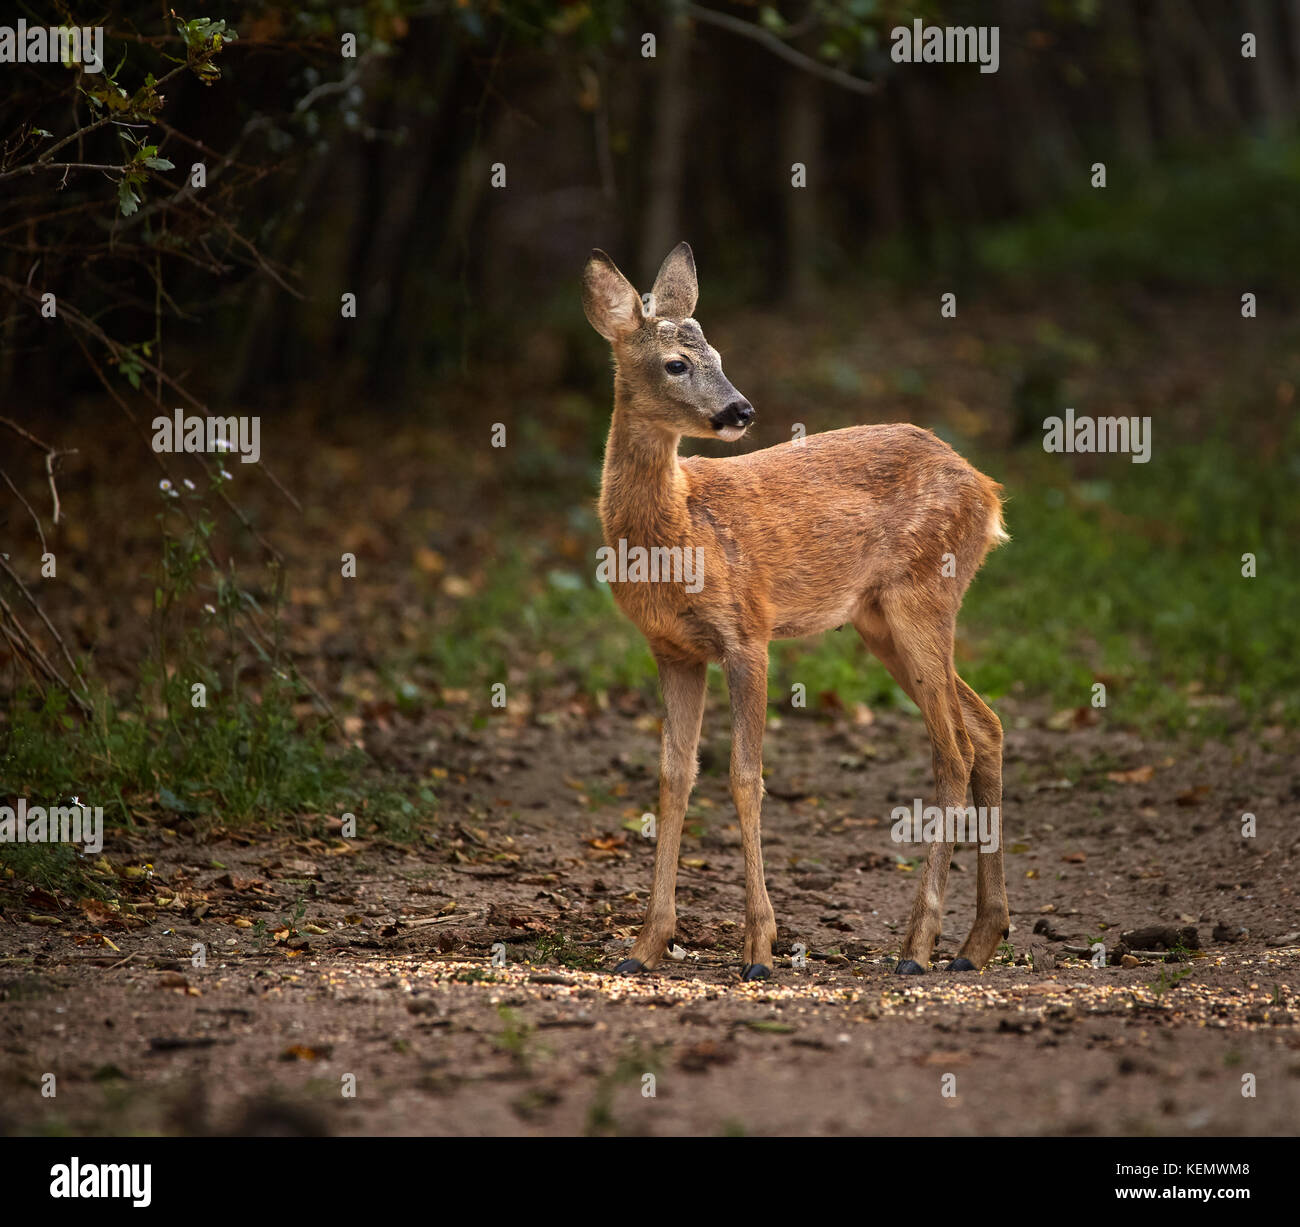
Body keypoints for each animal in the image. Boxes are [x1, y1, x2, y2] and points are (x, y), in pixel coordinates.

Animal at [583, 242, 1009, 981]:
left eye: (718, 352)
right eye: (677, 362)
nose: (740, 410)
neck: (678, 529)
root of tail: (989, 492)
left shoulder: (747, 630)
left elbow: (744, 777)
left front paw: (758, 950)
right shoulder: (672, 648)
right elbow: (673, 777)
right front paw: (643, 947)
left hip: (923, 595)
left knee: (952, 747)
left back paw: (918, 948)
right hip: (879, 620)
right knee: (985, 727)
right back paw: (976, 942)